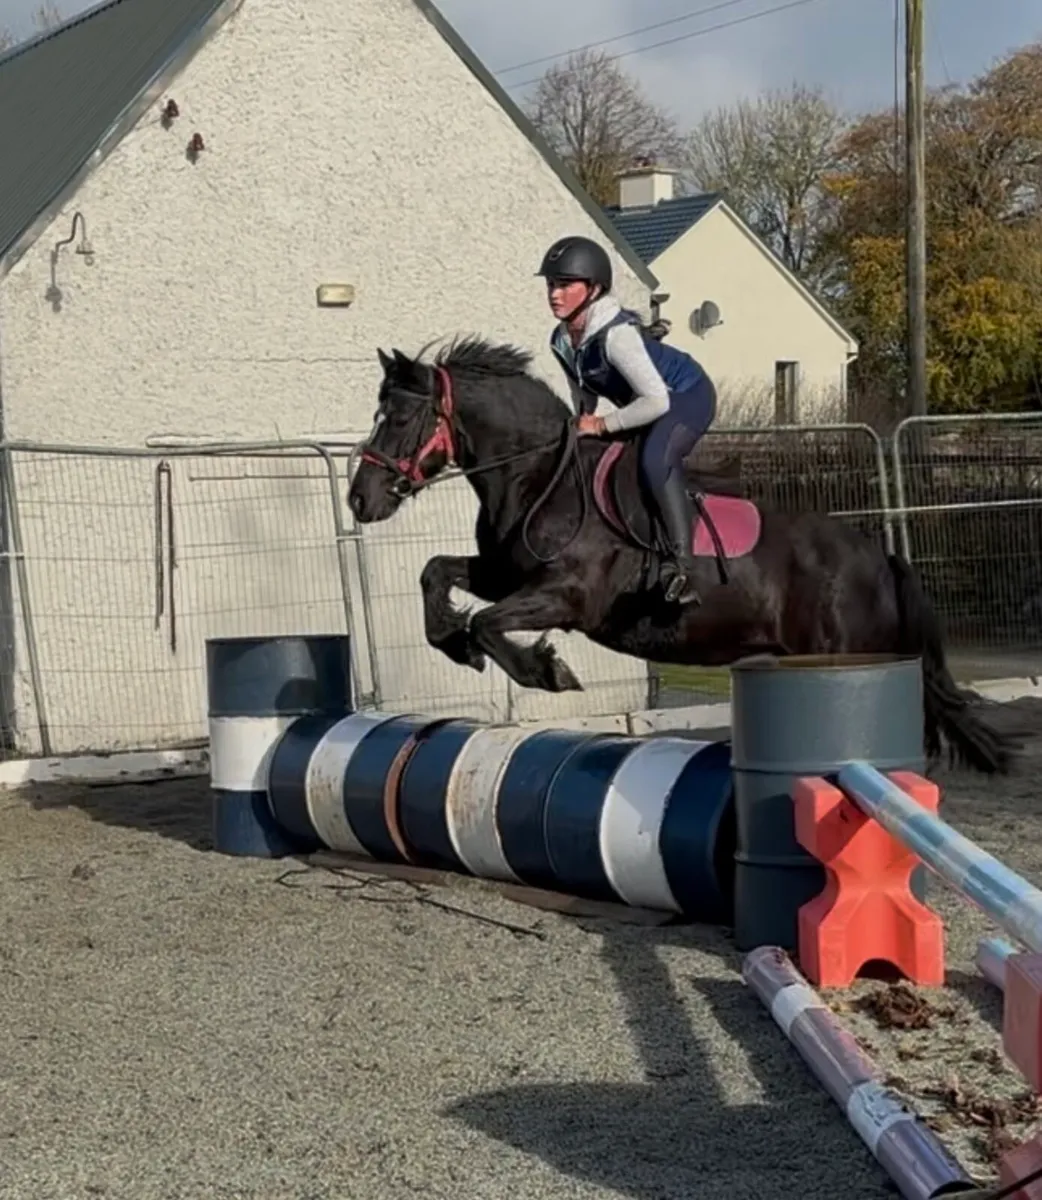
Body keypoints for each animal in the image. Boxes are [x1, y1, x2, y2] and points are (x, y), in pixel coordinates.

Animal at [347, 336, 1018, 777]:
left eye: (399, 417)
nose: (360, 498)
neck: (538, 475)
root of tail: (881, 560)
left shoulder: (568, 598)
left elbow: (489, 622)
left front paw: (546, 671)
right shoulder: (500, 575)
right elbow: (436, 574)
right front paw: (452, 643)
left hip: (851, 654)